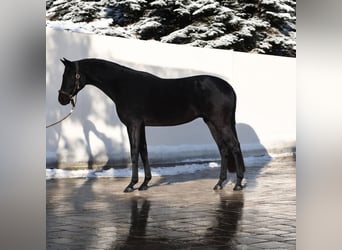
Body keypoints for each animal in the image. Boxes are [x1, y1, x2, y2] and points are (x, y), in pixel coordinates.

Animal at [59, 58, 246, 191]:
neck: (123, 85)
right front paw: (144, 184)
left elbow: (134, 152)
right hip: (211, 123)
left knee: (234, 146)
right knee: (223, 149)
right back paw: (219, 184)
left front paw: (131, 185)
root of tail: (229, 87)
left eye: (69, 75)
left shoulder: (133, 124)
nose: (62, 99)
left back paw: (238, 184)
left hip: (221, 123)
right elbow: (144, 151)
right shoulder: (141, 125)